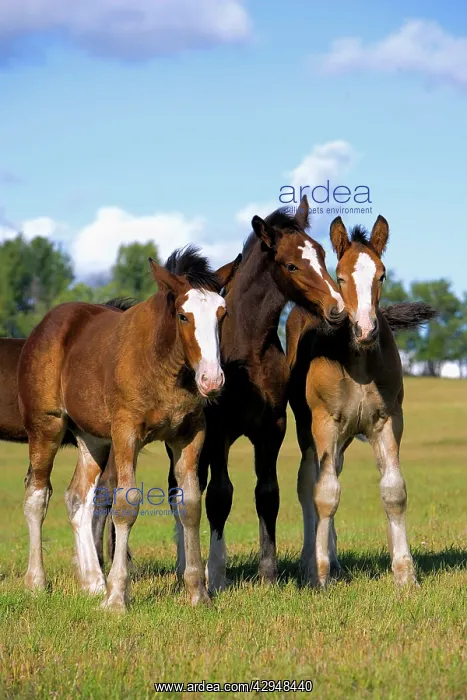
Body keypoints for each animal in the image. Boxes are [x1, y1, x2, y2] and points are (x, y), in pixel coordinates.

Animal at [18, 246, 233, 610]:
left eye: (222, 314)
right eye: (183, 316)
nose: (211, 380)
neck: (162, 365)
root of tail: (45, 325)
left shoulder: (189, 435)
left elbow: (189, 504)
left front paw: (197, 592)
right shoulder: (126, 433)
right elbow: (126, 503)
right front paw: (117, 597)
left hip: (93, 439)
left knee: (77, 496)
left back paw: (93, 582)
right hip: (46, 426)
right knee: (37, 495)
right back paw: (37, 582)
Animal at [286, 215, 436, 588]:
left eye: (381, 274)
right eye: (340, 276)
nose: (365, 330)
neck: (358, 362)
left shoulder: (388, 420)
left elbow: (394, 491)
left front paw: (405, 574)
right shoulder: (324, 422)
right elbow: (324, 493)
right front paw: (319, 573)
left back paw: (336, 560)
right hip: (308, 429)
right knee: (309, 482)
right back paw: (311, 560)